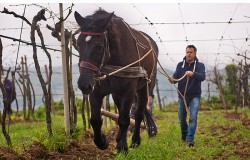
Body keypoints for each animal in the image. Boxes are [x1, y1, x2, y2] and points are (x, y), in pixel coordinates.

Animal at [74, 9, 158, 152]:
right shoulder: (95, 90)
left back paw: (135, 141)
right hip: (116, 93)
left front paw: (123, 147)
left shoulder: (129, 90)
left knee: (139, 113)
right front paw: (103, 142)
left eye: (100, 46)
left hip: (145, 88)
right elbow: (95, 119)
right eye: (78, 44)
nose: (83, 84)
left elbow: (125, 119)